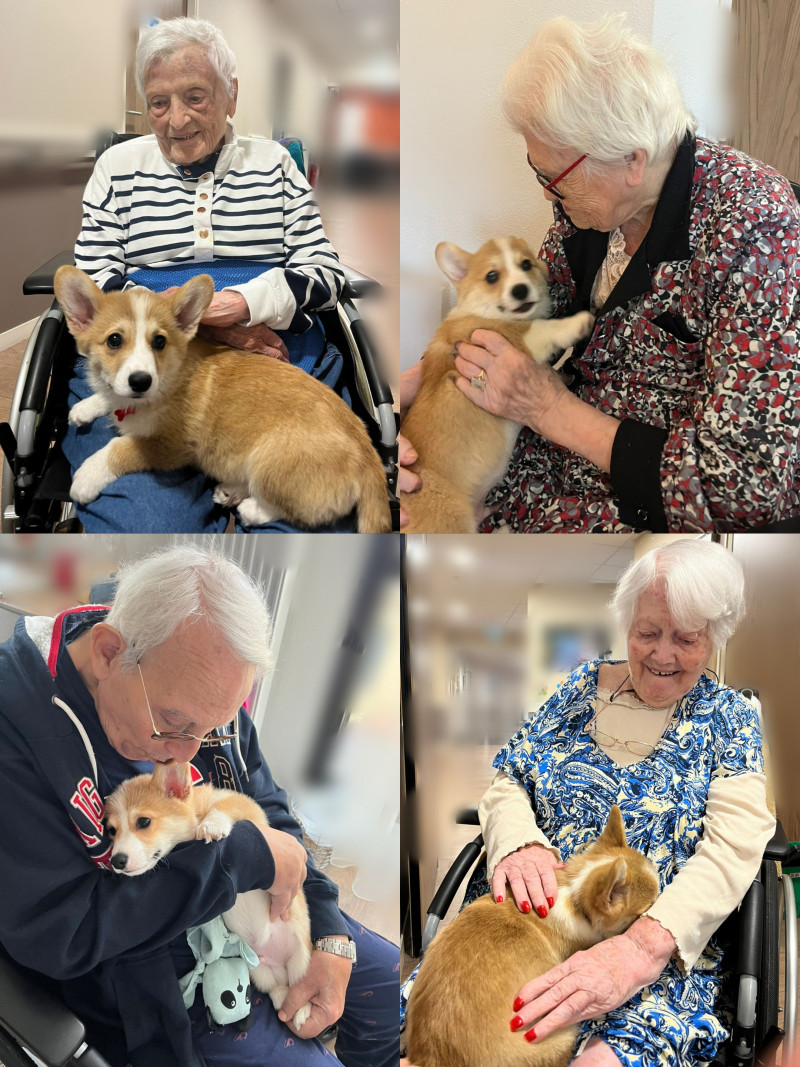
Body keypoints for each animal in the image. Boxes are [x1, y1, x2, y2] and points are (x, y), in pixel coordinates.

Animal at [52, 266, 392, 533]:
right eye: (114, 340)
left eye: (159, 342)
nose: (141, 381)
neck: (170, 379)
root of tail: (372, 460)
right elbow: (110, 396)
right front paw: (86, 406)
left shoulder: (169, 446)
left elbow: (119, 448)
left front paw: (85, 477)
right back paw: (232, 492)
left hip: (269, 459)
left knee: (306, 512)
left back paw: (252, 509)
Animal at [100, 763, 313, 1028]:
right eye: (112, 831)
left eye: (143, 821)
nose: (116, 861)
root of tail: (281, 965)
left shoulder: (245, 806)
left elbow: (222, 807)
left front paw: (211, 826)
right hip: (261, 971)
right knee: (279, 988)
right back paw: (284, 1001)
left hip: (301, 960)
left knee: (299, 986)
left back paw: (301, 1010)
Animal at [401, 235, 597, 531]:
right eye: (491, 276)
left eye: (526, 265)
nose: (520, 290)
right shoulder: (512, 338)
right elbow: (542, 328)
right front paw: (577, 323)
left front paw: (562, 378)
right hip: (453, 516)